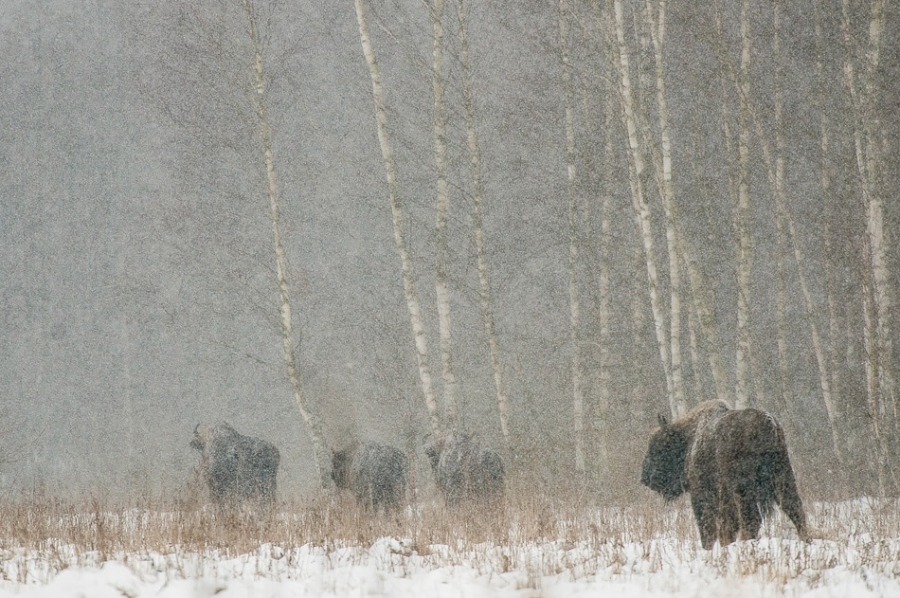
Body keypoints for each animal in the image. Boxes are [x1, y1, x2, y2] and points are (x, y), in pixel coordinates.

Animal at [641, 400, 809, 548]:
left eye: (659, 447)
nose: (645, 478)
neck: (689, 438)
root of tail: (767, 423)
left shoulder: (702, 495)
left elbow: (708, 528)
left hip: (742, 489)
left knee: (752, 519)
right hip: (783, 476)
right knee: (795, 509)